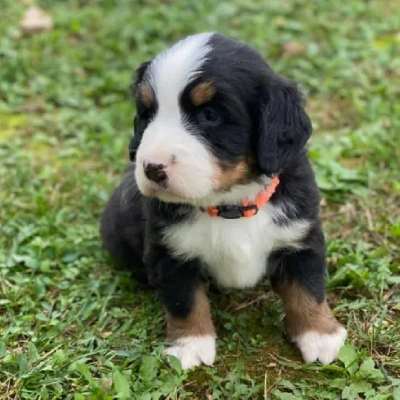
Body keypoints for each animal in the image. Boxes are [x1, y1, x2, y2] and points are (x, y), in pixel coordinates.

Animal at [101, 32, 346, 370]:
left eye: (210, 115)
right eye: (147, 113)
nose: (151, 168)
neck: (230, 205)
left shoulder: (300, 236)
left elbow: (307, 290)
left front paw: (320, 335)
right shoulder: (170, 251)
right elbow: (184, 301)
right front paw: (190, 345)